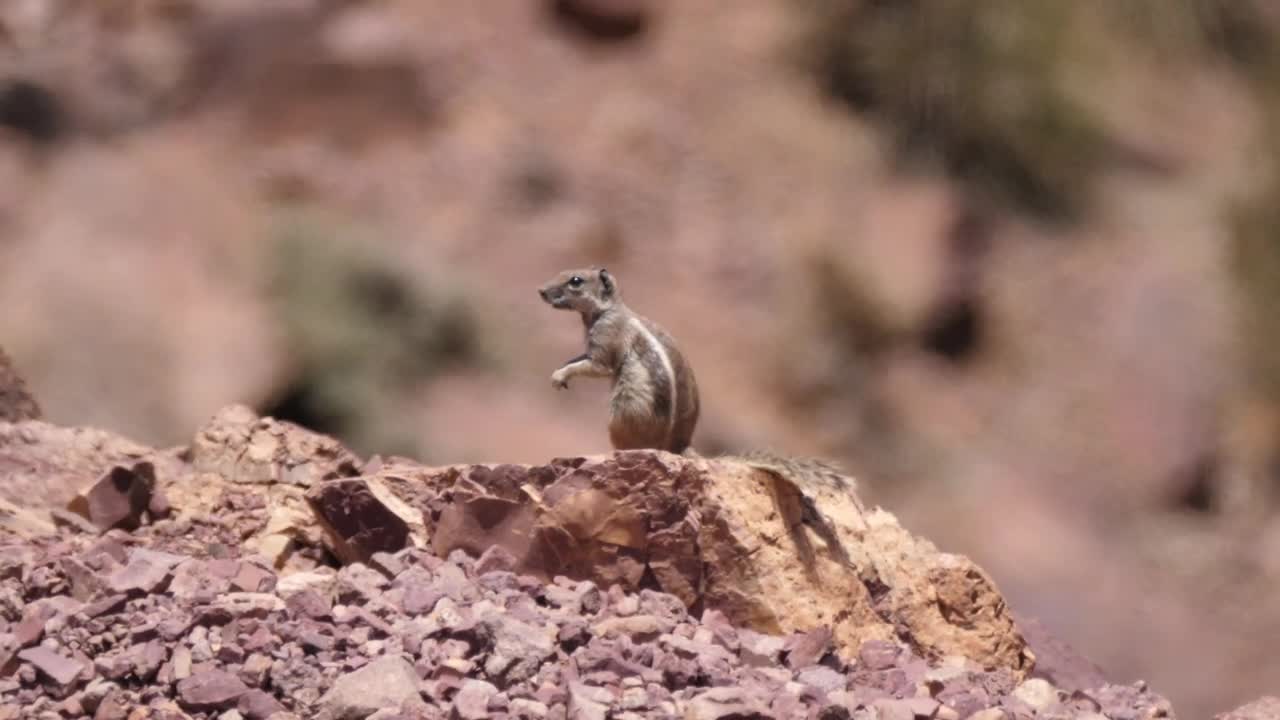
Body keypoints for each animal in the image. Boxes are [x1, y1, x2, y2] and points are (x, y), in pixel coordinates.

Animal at [538, 267, 865, 561]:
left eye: (576, 280)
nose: (541, 291)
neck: (608, 309)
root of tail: (679, 446)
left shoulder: (607, 339)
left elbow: (596, 366)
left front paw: (559, 375)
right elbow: (579, 358)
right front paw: (561, 371)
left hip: (622, 412)